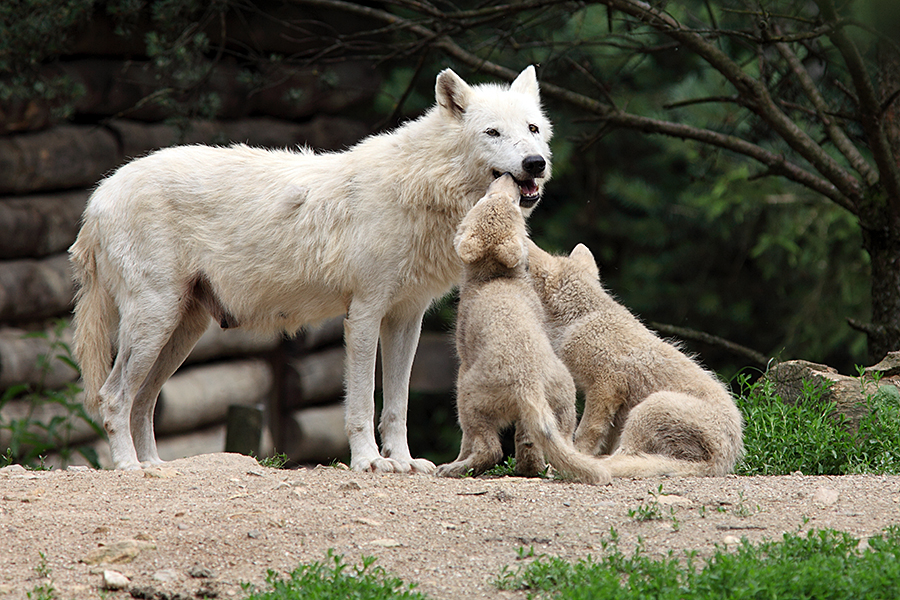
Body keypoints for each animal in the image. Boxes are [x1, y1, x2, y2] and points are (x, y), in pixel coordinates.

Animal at [70, 64, 552, 468]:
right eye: (492, 132)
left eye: (532, 129)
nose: (537, 163)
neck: (423, 188)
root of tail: (99, 194)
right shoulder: (364, 314)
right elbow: (362, 403)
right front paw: (369, 462)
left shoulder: (406, 319)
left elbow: (397, 406)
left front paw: (405, 463)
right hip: (155, 321)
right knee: (113, 397)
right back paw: (129, 467)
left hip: (181, 331)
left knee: (143, 400)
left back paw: (155, 466)